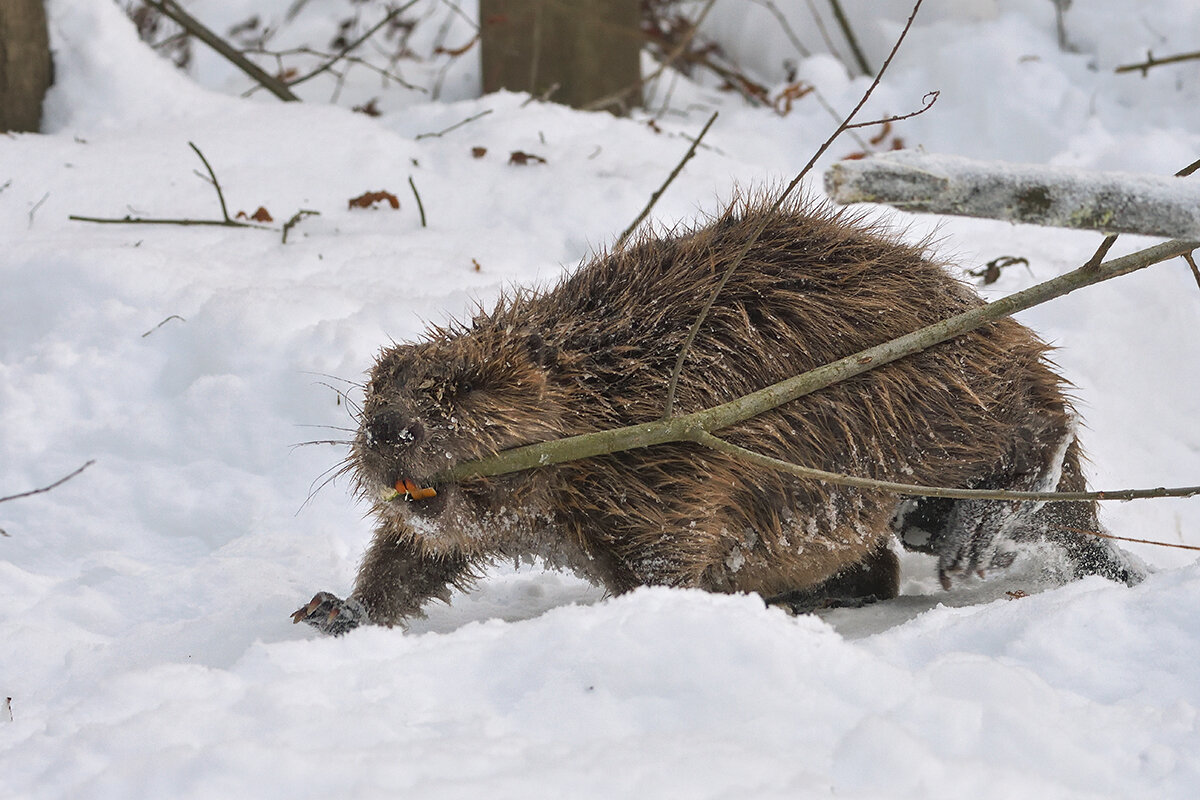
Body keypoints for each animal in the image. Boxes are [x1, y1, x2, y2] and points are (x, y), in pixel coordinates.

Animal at [295, 196, 1137, 633]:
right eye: (378, 386)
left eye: (466, 389)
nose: (388, 430)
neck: (608, 387)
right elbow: (414, 554)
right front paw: (337, 609)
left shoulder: (667, 470)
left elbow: (668, 553)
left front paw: (653, 610)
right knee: (885, 564)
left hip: (943, 392)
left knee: (1035, 430)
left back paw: (974, 530)